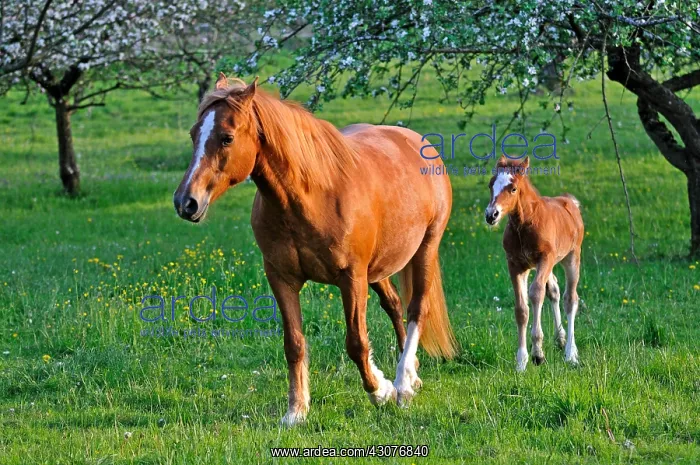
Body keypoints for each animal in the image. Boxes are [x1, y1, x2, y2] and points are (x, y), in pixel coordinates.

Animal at [173, 73, 457, 426]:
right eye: (194, 134)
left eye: (226, 138)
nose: (186, 202)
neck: (310, 197)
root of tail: (416, 141)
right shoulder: (282, 279)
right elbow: (294, 344)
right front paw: (296, 410)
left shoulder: (351, 279)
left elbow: (356, 342)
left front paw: (380, 391)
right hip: (377, 269)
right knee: (393, 305)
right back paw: (411, 374)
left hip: (425, 250)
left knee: (417, 308)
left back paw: (403, 383)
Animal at [484, 156, 584, 372]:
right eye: (491, 184)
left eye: (513, 188)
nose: (491, 215)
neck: (525, 224)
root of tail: (570, 202)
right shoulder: (516, 265)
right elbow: (521, 309)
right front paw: (521, 361)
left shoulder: (544, 259)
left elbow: (536, 294)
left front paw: (538, 354)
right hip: (547, 265)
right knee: (554, 290)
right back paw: (561, 339)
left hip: (571, 257)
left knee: (570, 299)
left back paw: (570, 353)